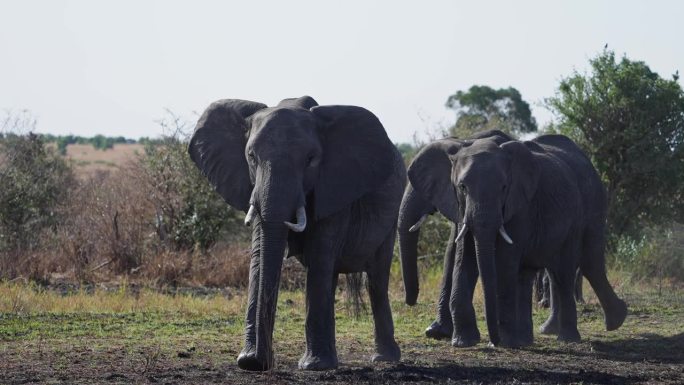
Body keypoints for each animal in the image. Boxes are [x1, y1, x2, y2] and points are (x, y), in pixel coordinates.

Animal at [190, 95, 404, 368]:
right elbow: (259, 257)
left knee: (374, 280)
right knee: (332, 278)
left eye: (311, 159)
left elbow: (319, 257)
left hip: (391, 216)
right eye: (251, 156)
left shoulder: (333, 186)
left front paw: (314, 367)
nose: (261, 361)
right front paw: (247, 361)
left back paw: (383, 359)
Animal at [404, 134, 628, 346]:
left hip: (581, 214)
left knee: (569, 270)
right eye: (463, 187)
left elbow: (505, 261)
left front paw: (503, 342)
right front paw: (463, 342)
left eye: (504, 187)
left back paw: (579, 334)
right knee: (532, 274)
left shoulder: (520, 206)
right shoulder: (461, 208)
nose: (492, 341)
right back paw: (528, 338)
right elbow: (464, 257)